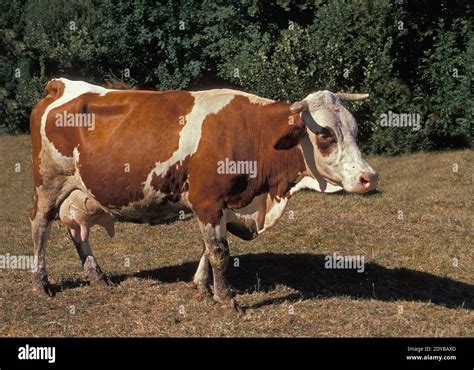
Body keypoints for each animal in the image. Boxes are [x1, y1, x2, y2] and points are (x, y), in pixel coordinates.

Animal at [29, 78, 378, 312]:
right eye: (325, 135)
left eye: (355, 130)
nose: (369, 177)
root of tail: (61, 85)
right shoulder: (209, 200)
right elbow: (220, 252)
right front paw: (227, 300)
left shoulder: (219, 204)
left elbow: (209, 248)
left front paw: (201, 287)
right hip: (48, 183)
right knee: (40, 227)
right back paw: (41, 283)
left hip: (78, 191)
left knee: (77, 230)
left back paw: (97, 276)